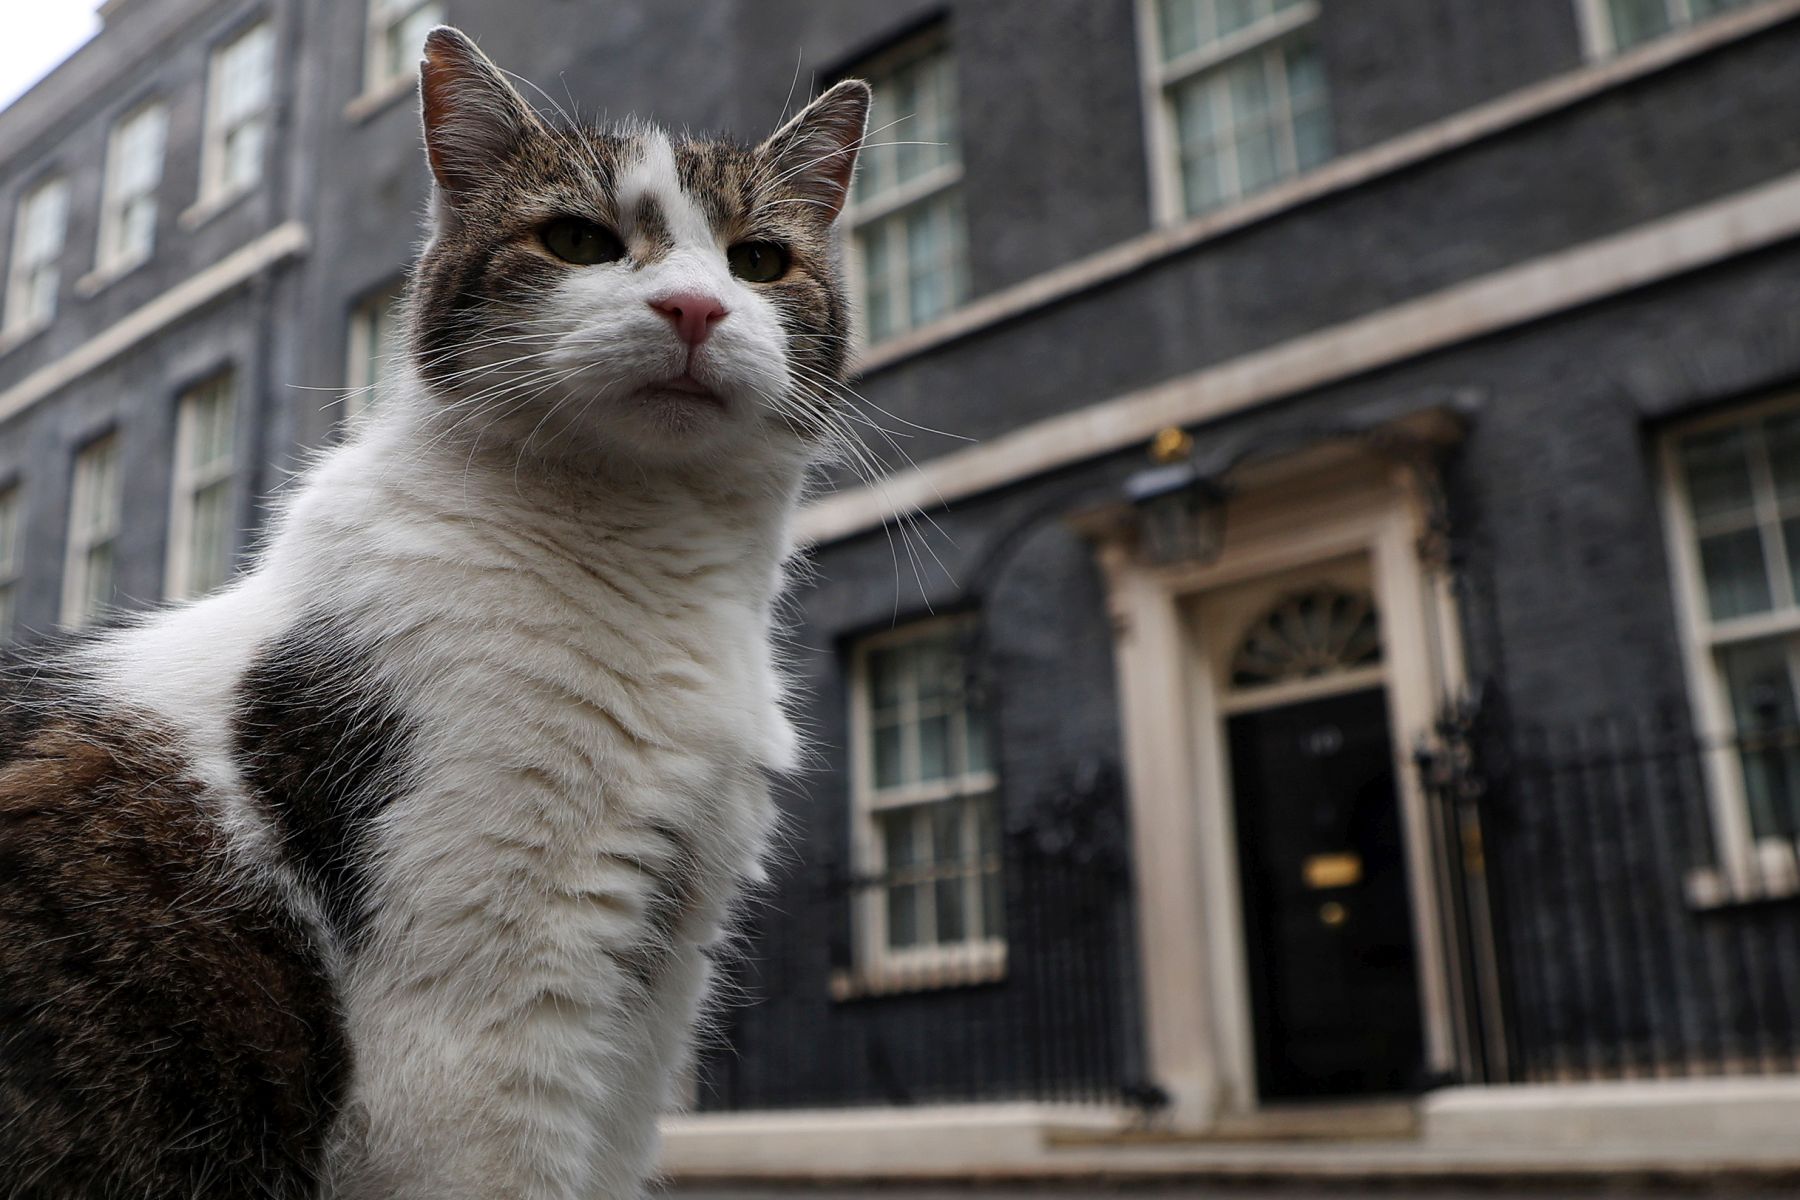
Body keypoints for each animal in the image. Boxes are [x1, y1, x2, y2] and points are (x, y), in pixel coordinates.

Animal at [0, 28, 867, 1200]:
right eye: (580, 240)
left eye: (761, 261)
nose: (696, 308)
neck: (655, 566)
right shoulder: (486, 1029)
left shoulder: (642, 1023)